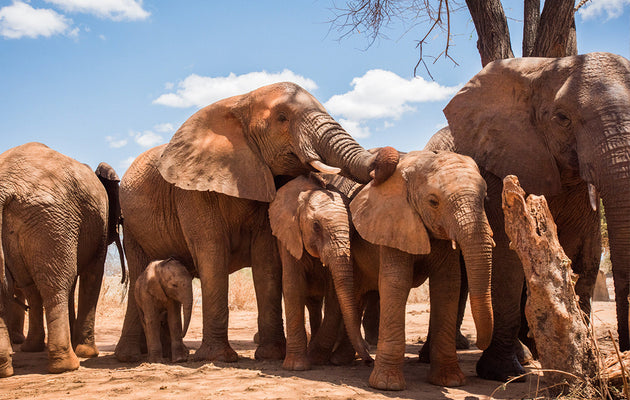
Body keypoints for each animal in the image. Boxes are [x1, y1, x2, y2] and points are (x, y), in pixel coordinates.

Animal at [0, 142, 124, 376]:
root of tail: (7, 186)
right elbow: (92, 276)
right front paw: (87, 353)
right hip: (52, 219)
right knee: (55, 286)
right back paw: (67, 365)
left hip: (45, 221)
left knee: (24, 287)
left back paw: (14, 362)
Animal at [115, 81, 398, 362]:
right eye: (282, 118)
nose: (384, 156)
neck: (239, 101)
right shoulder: (190, 190)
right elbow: (211, 251)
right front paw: (219, 358)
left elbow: (266, 258)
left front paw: (271, 354)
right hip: (131, 227)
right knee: (139, 271)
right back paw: (130, 357)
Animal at [424, 52, 630, 382]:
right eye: (562, 118)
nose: (623, 353)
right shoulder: (499, 167)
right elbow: (507, 260)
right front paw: (502, 374)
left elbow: (583, 256)